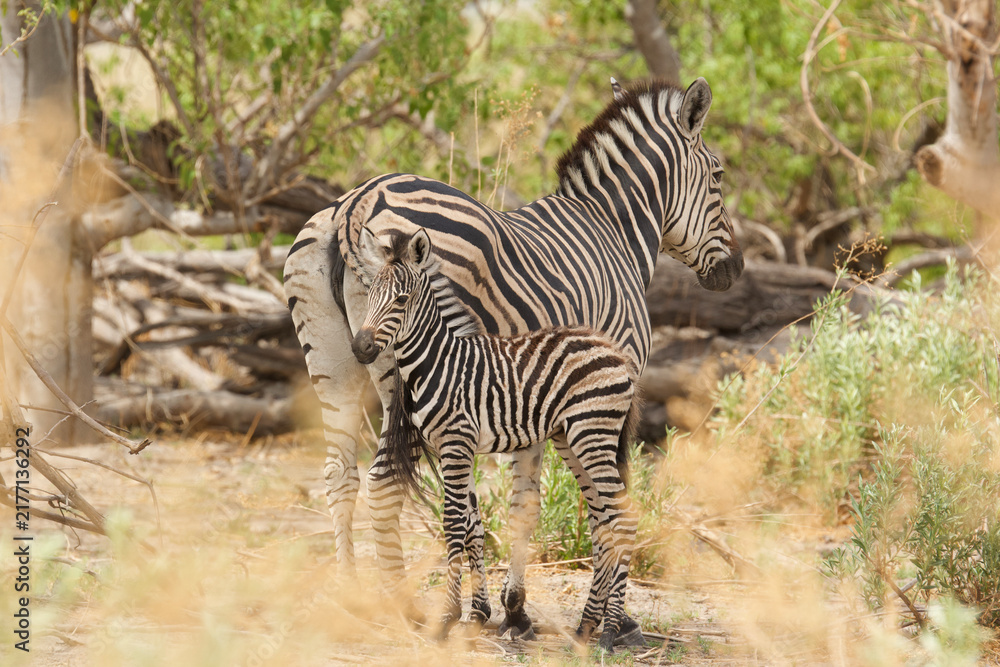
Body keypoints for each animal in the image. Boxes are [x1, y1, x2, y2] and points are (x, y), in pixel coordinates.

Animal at [352, 226, 641, 649]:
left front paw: (446, 619)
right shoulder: (455, 447)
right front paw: (473, 615)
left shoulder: (456, 442)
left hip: (593, 432)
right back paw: (587, 626)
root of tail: (615, 351)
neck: (438, 361)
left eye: (401, 300)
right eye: (369, 294)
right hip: (572, 438)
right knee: (602, 519)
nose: (360, 347)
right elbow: (473, 525)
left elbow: (454, 523)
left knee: (622, 515)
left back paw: (611, 631)